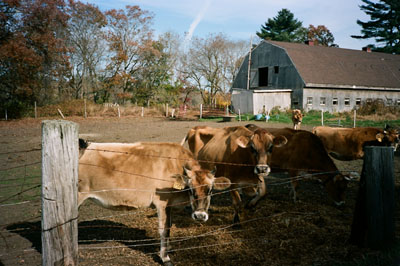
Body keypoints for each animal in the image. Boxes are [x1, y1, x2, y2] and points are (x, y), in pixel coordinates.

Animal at [78, 140, 230, 264]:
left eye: (210, 190)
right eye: (191, 189)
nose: (200, 216)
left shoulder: (169, 204)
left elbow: (169, 227)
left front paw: (169, 248)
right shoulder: (161, 203)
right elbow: (163, 230)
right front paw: (165, 257)